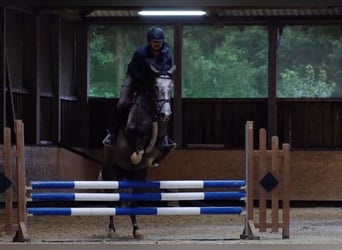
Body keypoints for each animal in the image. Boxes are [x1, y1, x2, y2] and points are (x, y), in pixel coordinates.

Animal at [100, 64, 176, 238]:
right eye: (156, 87)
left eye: (171, 87)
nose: (166, 114)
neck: (153, 111)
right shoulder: (132, 133)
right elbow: (138, 145)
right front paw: (137, 156)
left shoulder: (161, 137)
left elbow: (164, 147)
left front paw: (155, 159)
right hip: (110, 171)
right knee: (111, 199)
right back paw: (110, 229)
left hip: (137, 175)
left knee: (132, 200)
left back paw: (136, 229)